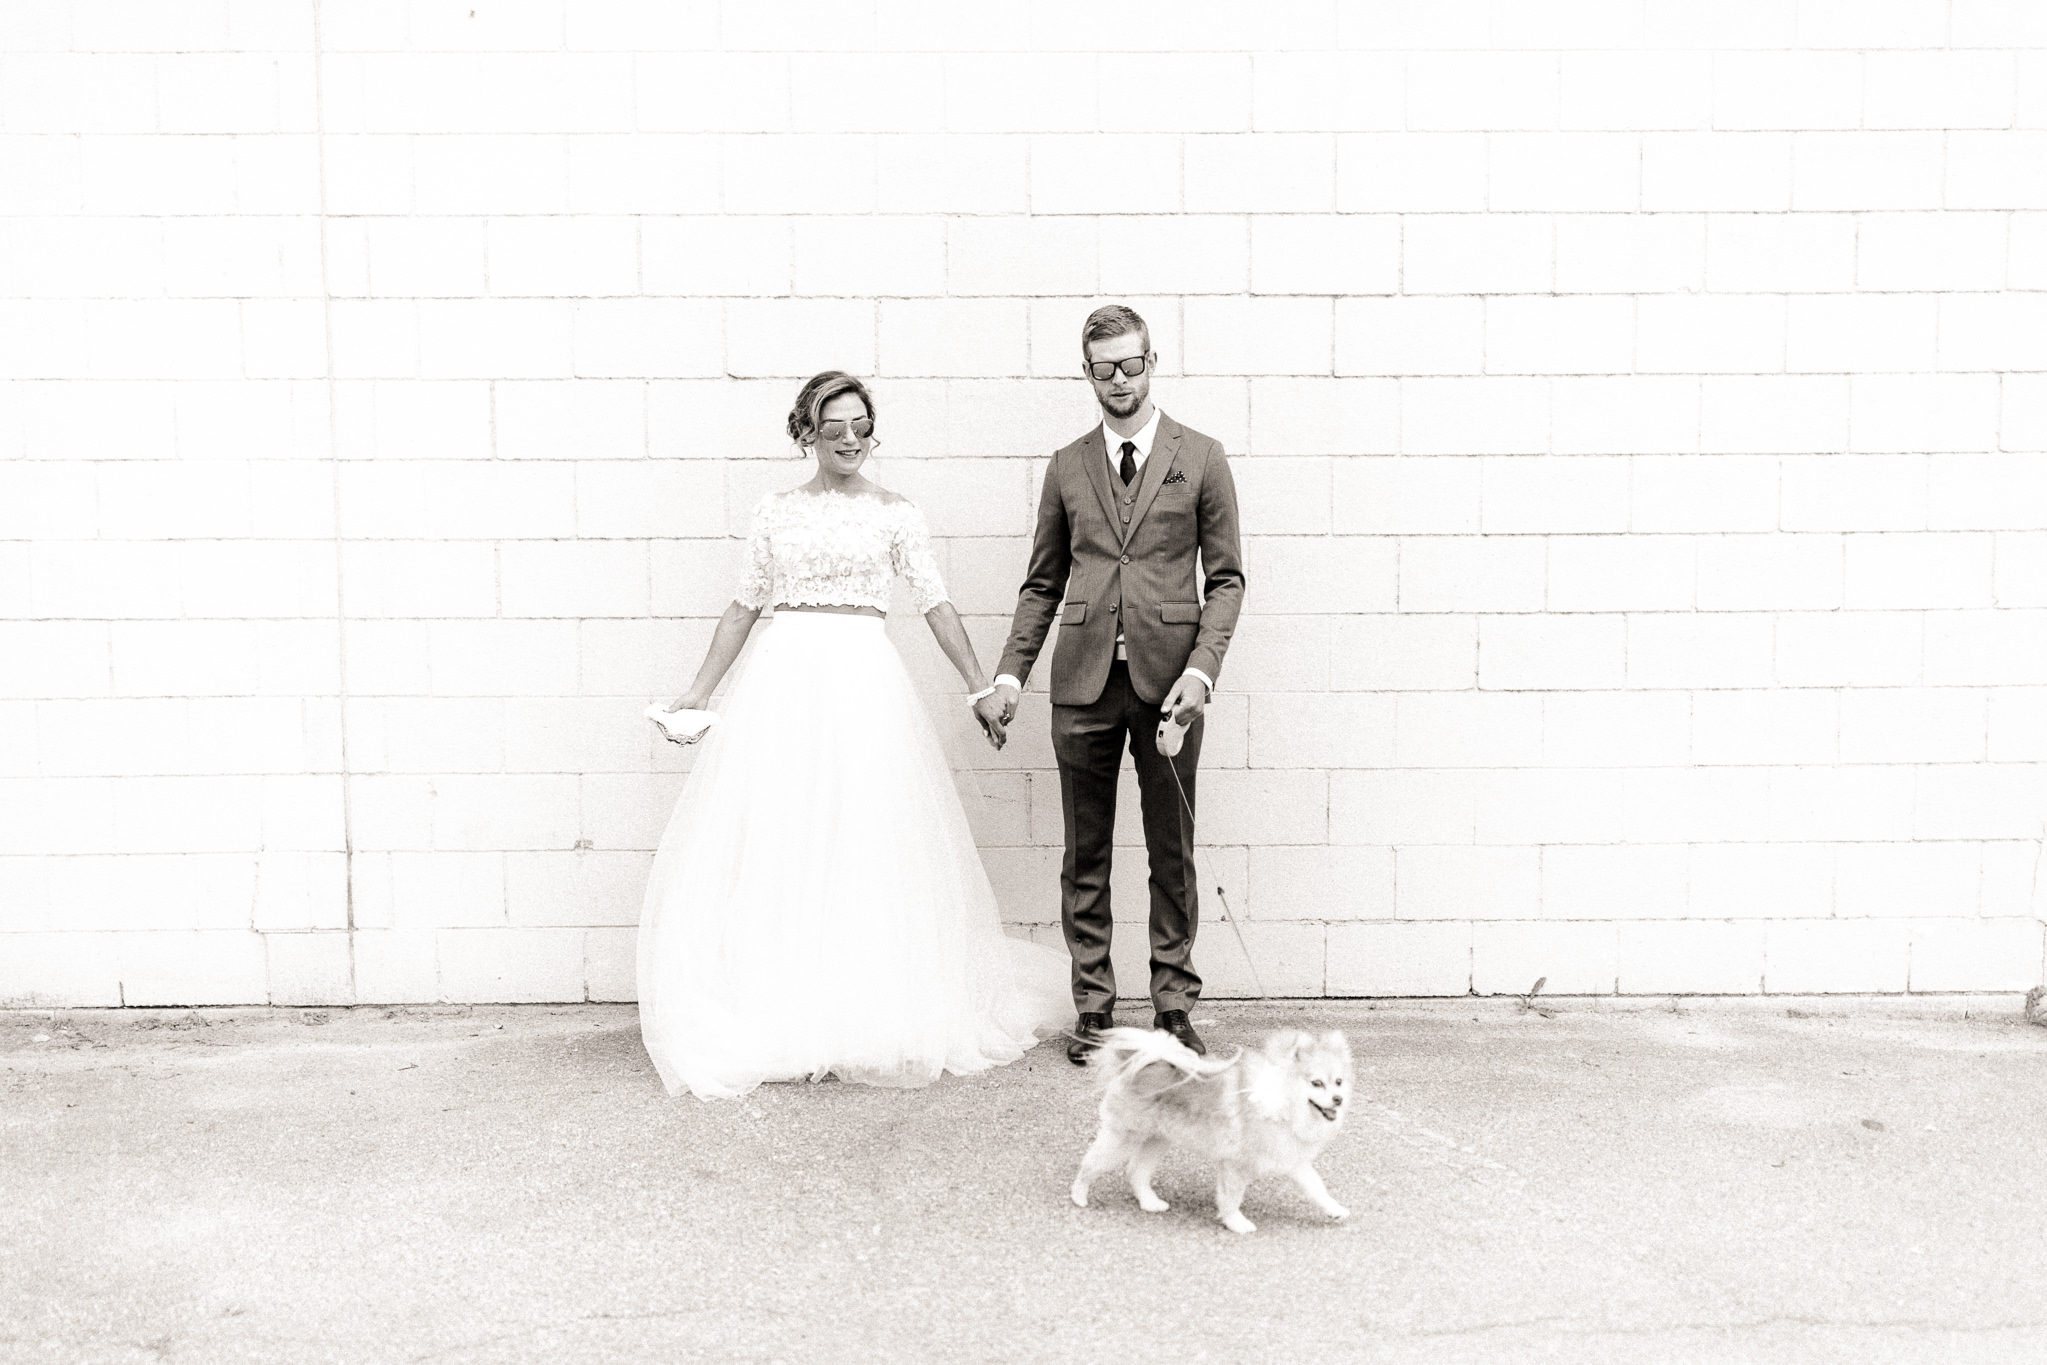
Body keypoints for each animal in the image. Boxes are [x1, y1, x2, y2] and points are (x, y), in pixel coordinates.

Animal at [1072, 1023, 1359, 1236]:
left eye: (1338, 1082)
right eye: (1316, 1083)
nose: (1338, 1099)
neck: (1282, 1101)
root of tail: (1146, 1061)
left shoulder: (1290, 1157)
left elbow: (1316, 1187)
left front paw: (1334, 1209)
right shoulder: (1235, 1165)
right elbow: (1232, 1197)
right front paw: (1236, 1223)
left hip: (1158, 1138)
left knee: (1136, 1172)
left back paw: (1150, 1203)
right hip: (1124, 1138)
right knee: (1091, 1164)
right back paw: (1078, 1196)